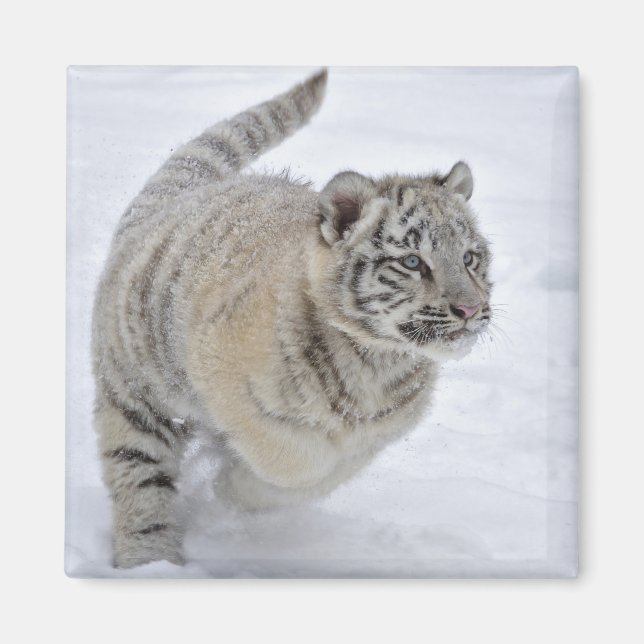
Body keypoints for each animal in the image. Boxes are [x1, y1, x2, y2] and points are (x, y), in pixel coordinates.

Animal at [91, 69, 493, 568]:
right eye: (413, 262)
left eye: (470, 258)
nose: (470, 309)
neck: (376, 362)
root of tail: (181, 198)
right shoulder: (224, 378)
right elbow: (294, 459)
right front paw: (229, 486)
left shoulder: (373, 437)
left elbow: (319, 474)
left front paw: (236, 488)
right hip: (135, 396)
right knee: (141, 483)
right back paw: (151, 562)